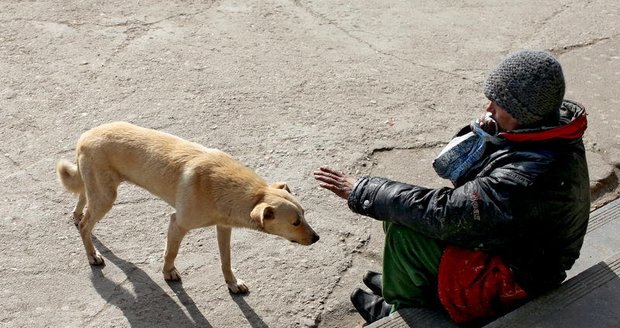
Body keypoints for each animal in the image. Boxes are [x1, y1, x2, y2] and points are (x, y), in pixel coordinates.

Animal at [56, 121, 320, 294]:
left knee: (82, 200)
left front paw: (232, 282)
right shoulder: (178, 223)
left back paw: (77, 216)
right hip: (106, 196)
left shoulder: (224, 227)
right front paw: (168, 272)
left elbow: (226, 259)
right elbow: (171, 252)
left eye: (305, 215)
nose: (317, 238)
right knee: (86, 224)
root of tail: (84, 136)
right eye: (295, 222)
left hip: (98, 189)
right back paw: (92, 254)